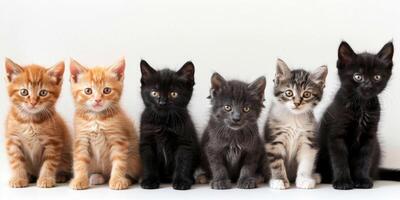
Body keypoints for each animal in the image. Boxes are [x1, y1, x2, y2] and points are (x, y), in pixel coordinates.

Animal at [4, 57, 72, 188]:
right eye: (24, 92)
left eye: (43, 93)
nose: (33, 102)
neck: (30, 120)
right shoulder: (13, 140)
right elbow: (16, 161)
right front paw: (19, 178)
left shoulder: (53, 142)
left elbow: (49, 162)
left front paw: (46, 179)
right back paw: (29, 176)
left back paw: (60, 176)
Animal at [69, 58, 141, 190]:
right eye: (88, 91)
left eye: (107, 90)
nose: (98, 100)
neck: (96, 118)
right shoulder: (81, 139)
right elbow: (80, 161)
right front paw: (80, 180)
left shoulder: (118, 139)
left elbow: (119, 162)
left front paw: (117, 180)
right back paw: (97, 176)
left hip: (134, 159)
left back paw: (126, 179)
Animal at [138, 59, 200, 191]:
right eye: (154, 93)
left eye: (174, 94)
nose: (162, 102)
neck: (163, 123)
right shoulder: (146, 140)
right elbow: (149, 161)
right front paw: (149, 181)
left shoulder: (184, 141)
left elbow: (183, 161)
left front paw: (181, 182)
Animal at [264, 58, 326, 189]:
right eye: (289, 93)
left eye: (307, 94)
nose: (297, 103)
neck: (294, 118)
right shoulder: (274, 141)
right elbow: (277, 163)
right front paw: (279, 180)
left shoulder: (308, 142)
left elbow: (306, 163)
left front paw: (304, 179)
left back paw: (314, 176)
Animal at [316, 40, 400, 189]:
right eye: (358, 77)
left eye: (377, 77)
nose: (367, 85)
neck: (361, 107)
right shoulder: (336, 135)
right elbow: (339, 160)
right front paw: (343, 182)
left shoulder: (369, 136)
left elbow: (364, 159)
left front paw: (362, 180)